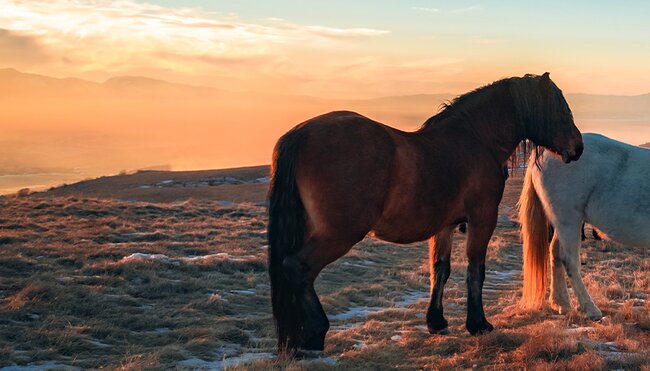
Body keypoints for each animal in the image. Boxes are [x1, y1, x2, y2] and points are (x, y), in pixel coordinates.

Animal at [266, 72, 580, 354]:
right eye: (559, 109)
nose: (578, 147)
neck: (476, 140)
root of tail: (301, 134)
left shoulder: (444, 226)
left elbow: (440, 270)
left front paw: (436, 321)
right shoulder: (482, 219)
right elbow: (475, 270)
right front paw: (478, 323)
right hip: (340, 234)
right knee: (298, 267)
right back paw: (314, 335)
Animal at [516, 134, 648, 320]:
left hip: (563, 222)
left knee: (555, 253)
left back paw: (561, 303)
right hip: (569, 220)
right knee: (569, 260)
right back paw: (590, 309)